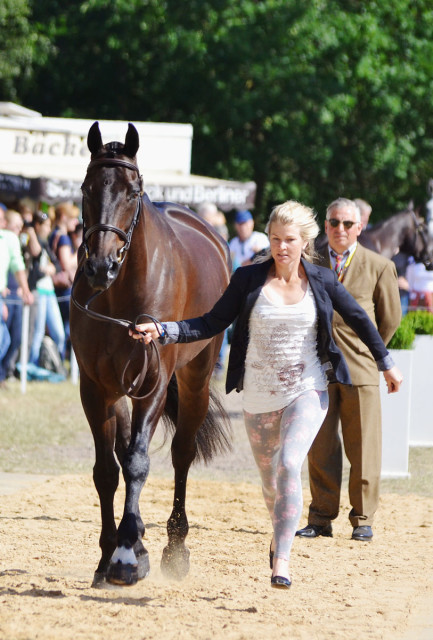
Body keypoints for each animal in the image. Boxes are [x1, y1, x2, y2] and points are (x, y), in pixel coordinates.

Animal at [70, 121, 231, 584]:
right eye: (86, 188)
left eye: (133, 191)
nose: (100, 266)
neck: (118, 295)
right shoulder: (96, 387)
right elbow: (108, 470)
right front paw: (110, 555)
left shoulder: (153, 384)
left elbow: (139, 462)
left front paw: (126, 555)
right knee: (124, 452)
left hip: (195, 379)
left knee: (182, 453)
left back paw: (174, 547)